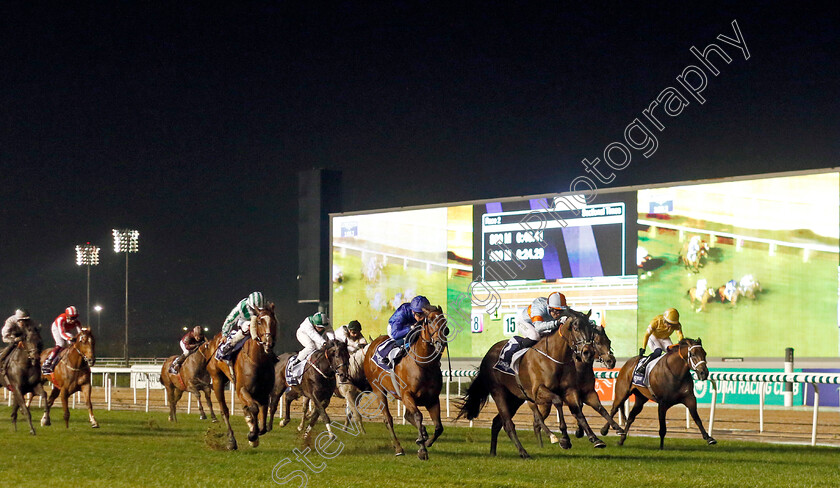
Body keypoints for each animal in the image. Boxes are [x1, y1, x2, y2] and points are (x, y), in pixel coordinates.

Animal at [206, 304, 276, 450]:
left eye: (273, 321)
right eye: (259, 321)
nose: (268, 343)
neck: (258, 360)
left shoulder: (264, 393)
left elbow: (263, 419)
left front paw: (255, 432)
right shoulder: (242, 389)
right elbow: (254, 408)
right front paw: (252, 435)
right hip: (217, 380)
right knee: (224, 410)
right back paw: (232, 441)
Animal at [362, 304, 450, 462]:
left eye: (444, 322)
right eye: (429, 321)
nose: (441, 342)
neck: (424, 365)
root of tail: (372, 344)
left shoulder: (432, 399)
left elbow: (439, 427)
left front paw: (426, 441)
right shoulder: (407, 395)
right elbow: (418, 416)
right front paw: (422, 449)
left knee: (407, 416)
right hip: (378, 389)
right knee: (388, 419)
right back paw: (398, 448)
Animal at [456, 310, 600, 460]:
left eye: (591, 329)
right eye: (576, 328)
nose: (588, 352)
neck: (555, 357)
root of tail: (486, 356)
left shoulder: (569, 390)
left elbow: (578, 410)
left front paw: (594, 438)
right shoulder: (538, 392)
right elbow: (558, 401)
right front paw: (564, 439)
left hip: (515, 398)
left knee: (497, 422)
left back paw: (493, 453)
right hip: (498, 392)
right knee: (508, 424)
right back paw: (524, 452)